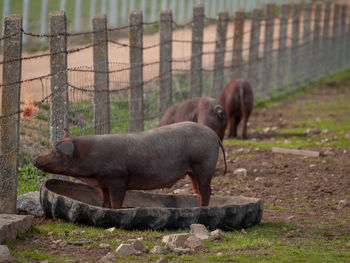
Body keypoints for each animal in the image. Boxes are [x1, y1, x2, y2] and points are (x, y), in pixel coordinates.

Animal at [33, 122, 227, 210]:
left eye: (56, 151)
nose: (35, 158)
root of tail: (213, 135)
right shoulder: (103, 183)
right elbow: (104, 200)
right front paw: (105, 208)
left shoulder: (117, 178)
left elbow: (117, 201)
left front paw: (116, 211)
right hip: (192, 171)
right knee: (199, 191)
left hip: (203, 165)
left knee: (206, 190)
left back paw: (203, 209)